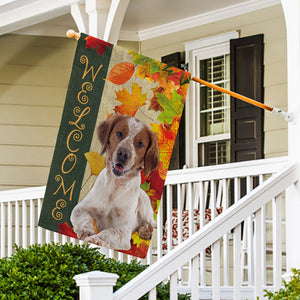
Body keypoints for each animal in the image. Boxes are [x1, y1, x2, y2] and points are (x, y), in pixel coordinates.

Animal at [71, 113, 159, 250]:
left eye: (140, 144)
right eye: (119, 133)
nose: (123, 153)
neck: (115, 186)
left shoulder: (123, 231)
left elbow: (108, 232)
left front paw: (96, 239)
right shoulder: (80, 208)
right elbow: (85, 219)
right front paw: (87, 230)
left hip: (146, 208)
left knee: (150, 223)